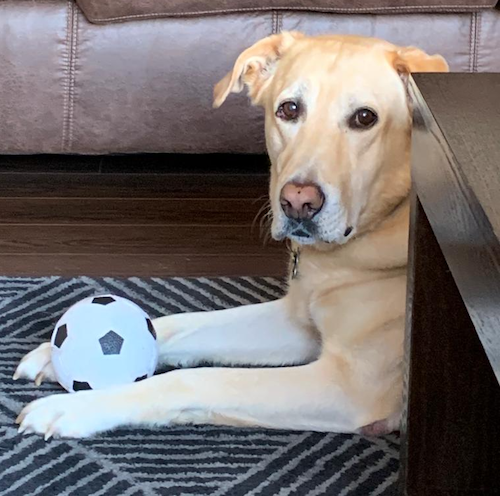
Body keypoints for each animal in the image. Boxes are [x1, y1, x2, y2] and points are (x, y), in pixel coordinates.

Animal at [13, 33, 448, 440]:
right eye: (289, 109)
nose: (297, 203)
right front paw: (55, 354)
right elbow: (180, 325)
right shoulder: (294, 323)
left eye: (364, 118)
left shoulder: (349, 385)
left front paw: (80, 407)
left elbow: (197, 379)